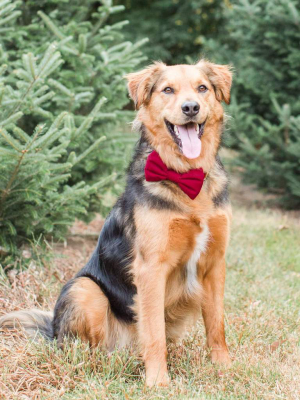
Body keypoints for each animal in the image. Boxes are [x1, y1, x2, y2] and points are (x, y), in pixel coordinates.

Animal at [0, 57, 232, 386]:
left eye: (202, 88)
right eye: (167, 90)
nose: (191, 108)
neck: (188, 177)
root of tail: (53, 332)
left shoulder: (215, 263)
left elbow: (216, 324)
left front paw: (224, 367)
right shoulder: (151, 268)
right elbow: (154, 332)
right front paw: (158, 382)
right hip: (85, 290)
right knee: (85, 349)